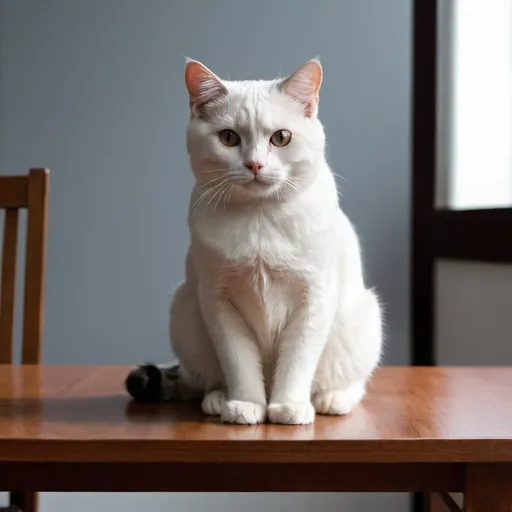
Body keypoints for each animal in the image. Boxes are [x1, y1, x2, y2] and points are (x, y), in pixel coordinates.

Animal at [126, 59, 382, 424]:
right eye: (229, 137)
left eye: (281, 137)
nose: (255, 164)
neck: (260, 219)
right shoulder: (218, 301)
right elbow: (239, 362)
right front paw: (246, 404)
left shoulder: (314, 298)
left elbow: (297, 360)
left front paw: (288, 406)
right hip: (185, 311)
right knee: (203, 379)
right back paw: (219, 399)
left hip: (362, 321)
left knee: (352, 382)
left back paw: (332, 399)